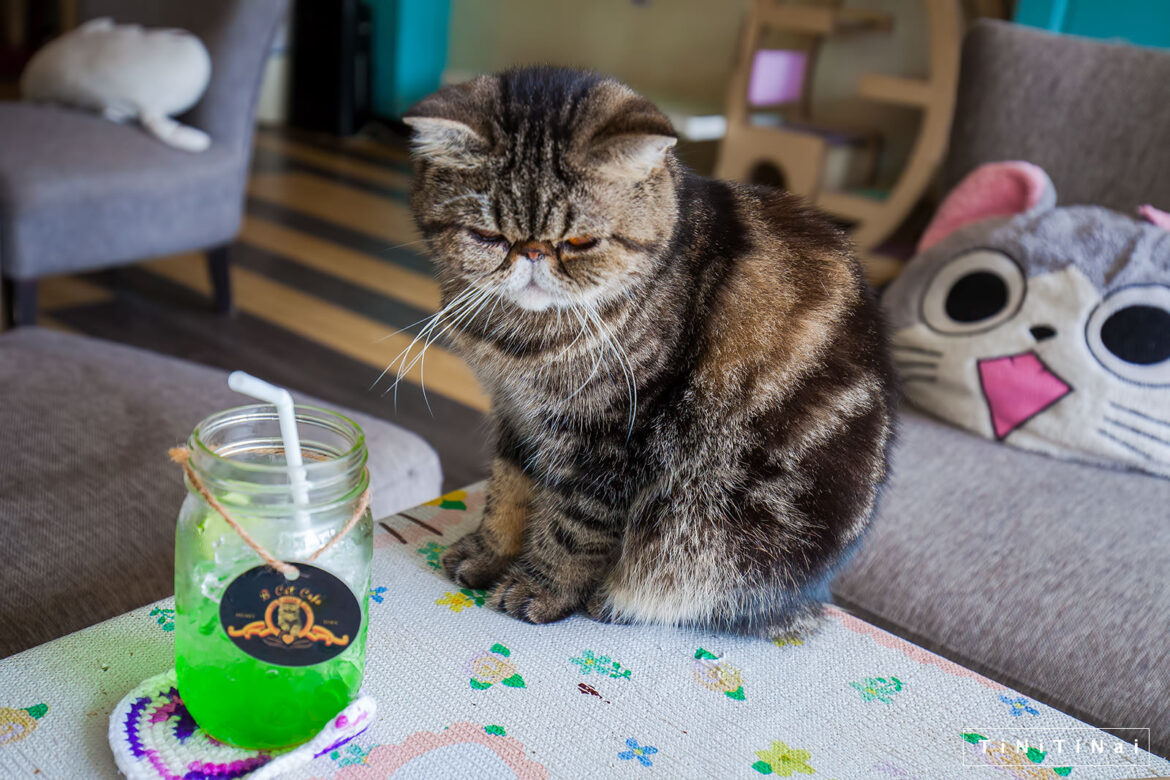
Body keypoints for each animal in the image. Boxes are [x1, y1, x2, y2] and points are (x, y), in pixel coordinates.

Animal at [404, 68, 893, 640]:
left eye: (581, 241)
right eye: (487, 236)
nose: (532, 253)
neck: (522, 341)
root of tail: (813, 596)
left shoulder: (614, 436)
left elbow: (575, 525)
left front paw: (541, 587)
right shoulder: (515, 413)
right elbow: (508, 488)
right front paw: (490, 552)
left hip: (716, 528)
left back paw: (612, 599)